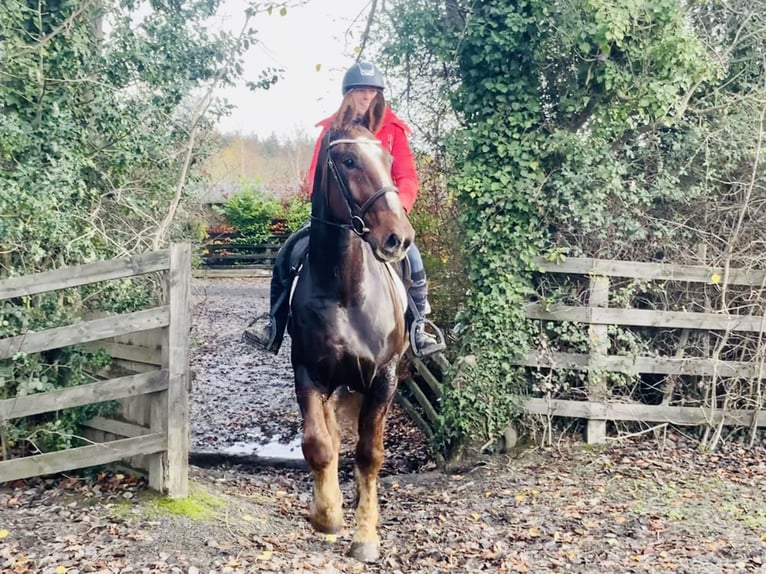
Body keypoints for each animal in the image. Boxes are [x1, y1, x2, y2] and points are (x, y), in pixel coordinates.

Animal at [288, 101, 416, 564]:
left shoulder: (384, 380)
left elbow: (369, 454)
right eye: (347, 161)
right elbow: (319, 444)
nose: (398, 238)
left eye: (389, 161)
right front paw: (326, 516)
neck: (344, 289)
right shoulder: (308, 373)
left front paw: (365, 535)